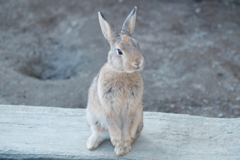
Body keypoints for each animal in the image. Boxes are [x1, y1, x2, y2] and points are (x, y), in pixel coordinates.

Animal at [86, 6, 144, 156]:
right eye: (119, 51)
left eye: (137, 45)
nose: (137, 62)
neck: (121, 73)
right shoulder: (109, 107)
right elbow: (113, 124)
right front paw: (117, 142)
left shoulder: (130, 109)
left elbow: (126, 126)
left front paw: (121, 146)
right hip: (93, 118)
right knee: (101, 133)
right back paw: (92, 144)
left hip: (138, 119)